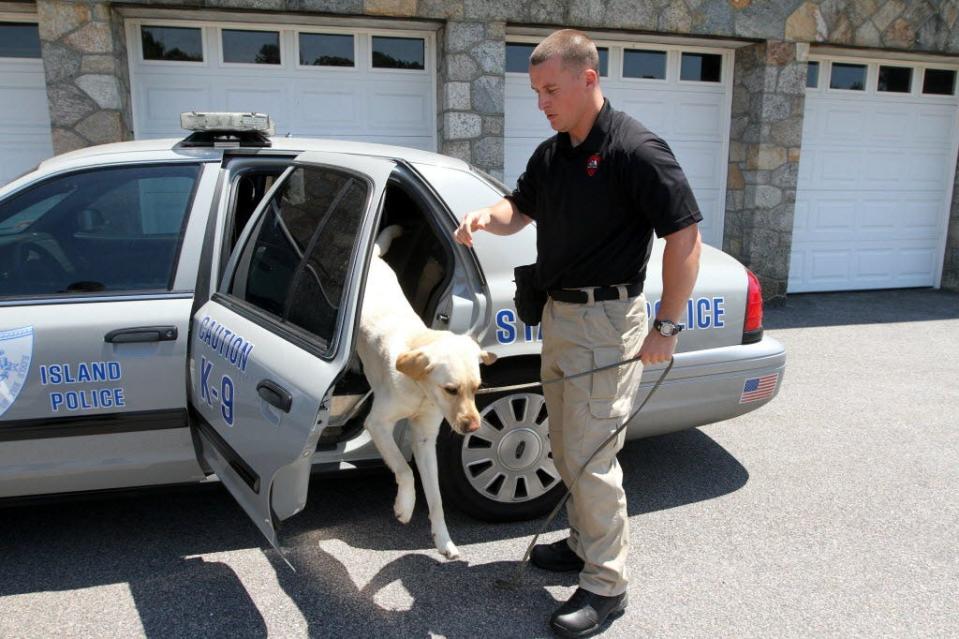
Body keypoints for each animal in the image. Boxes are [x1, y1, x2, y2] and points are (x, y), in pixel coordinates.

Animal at [358, 226, 498, 560]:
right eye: (451, 389)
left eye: (477, 388)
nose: (473, 427)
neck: (420, 390)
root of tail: (373, 256)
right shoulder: (377, 424)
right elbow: (404, 469)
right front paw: (404, 507)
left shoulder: (424, 439)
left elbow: (436, 497)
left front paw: (443, 540)